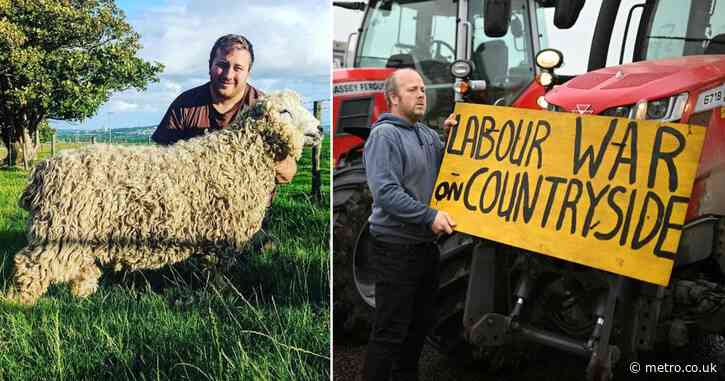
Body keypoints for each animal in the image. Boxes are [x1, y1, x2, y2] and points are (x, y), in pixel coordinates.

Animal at [5, 88, 320, 302]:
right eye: (284, 112)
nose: (319, 129)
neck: (237, 155)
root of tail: (43, 170)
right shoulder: (222, 235)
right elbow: (217, 272)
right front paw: (222, 296)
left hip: (77, 230)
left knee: (80, 265)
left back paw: (81, 295)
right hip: (59, 227)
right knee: (30, 264)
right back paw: (19, 303)